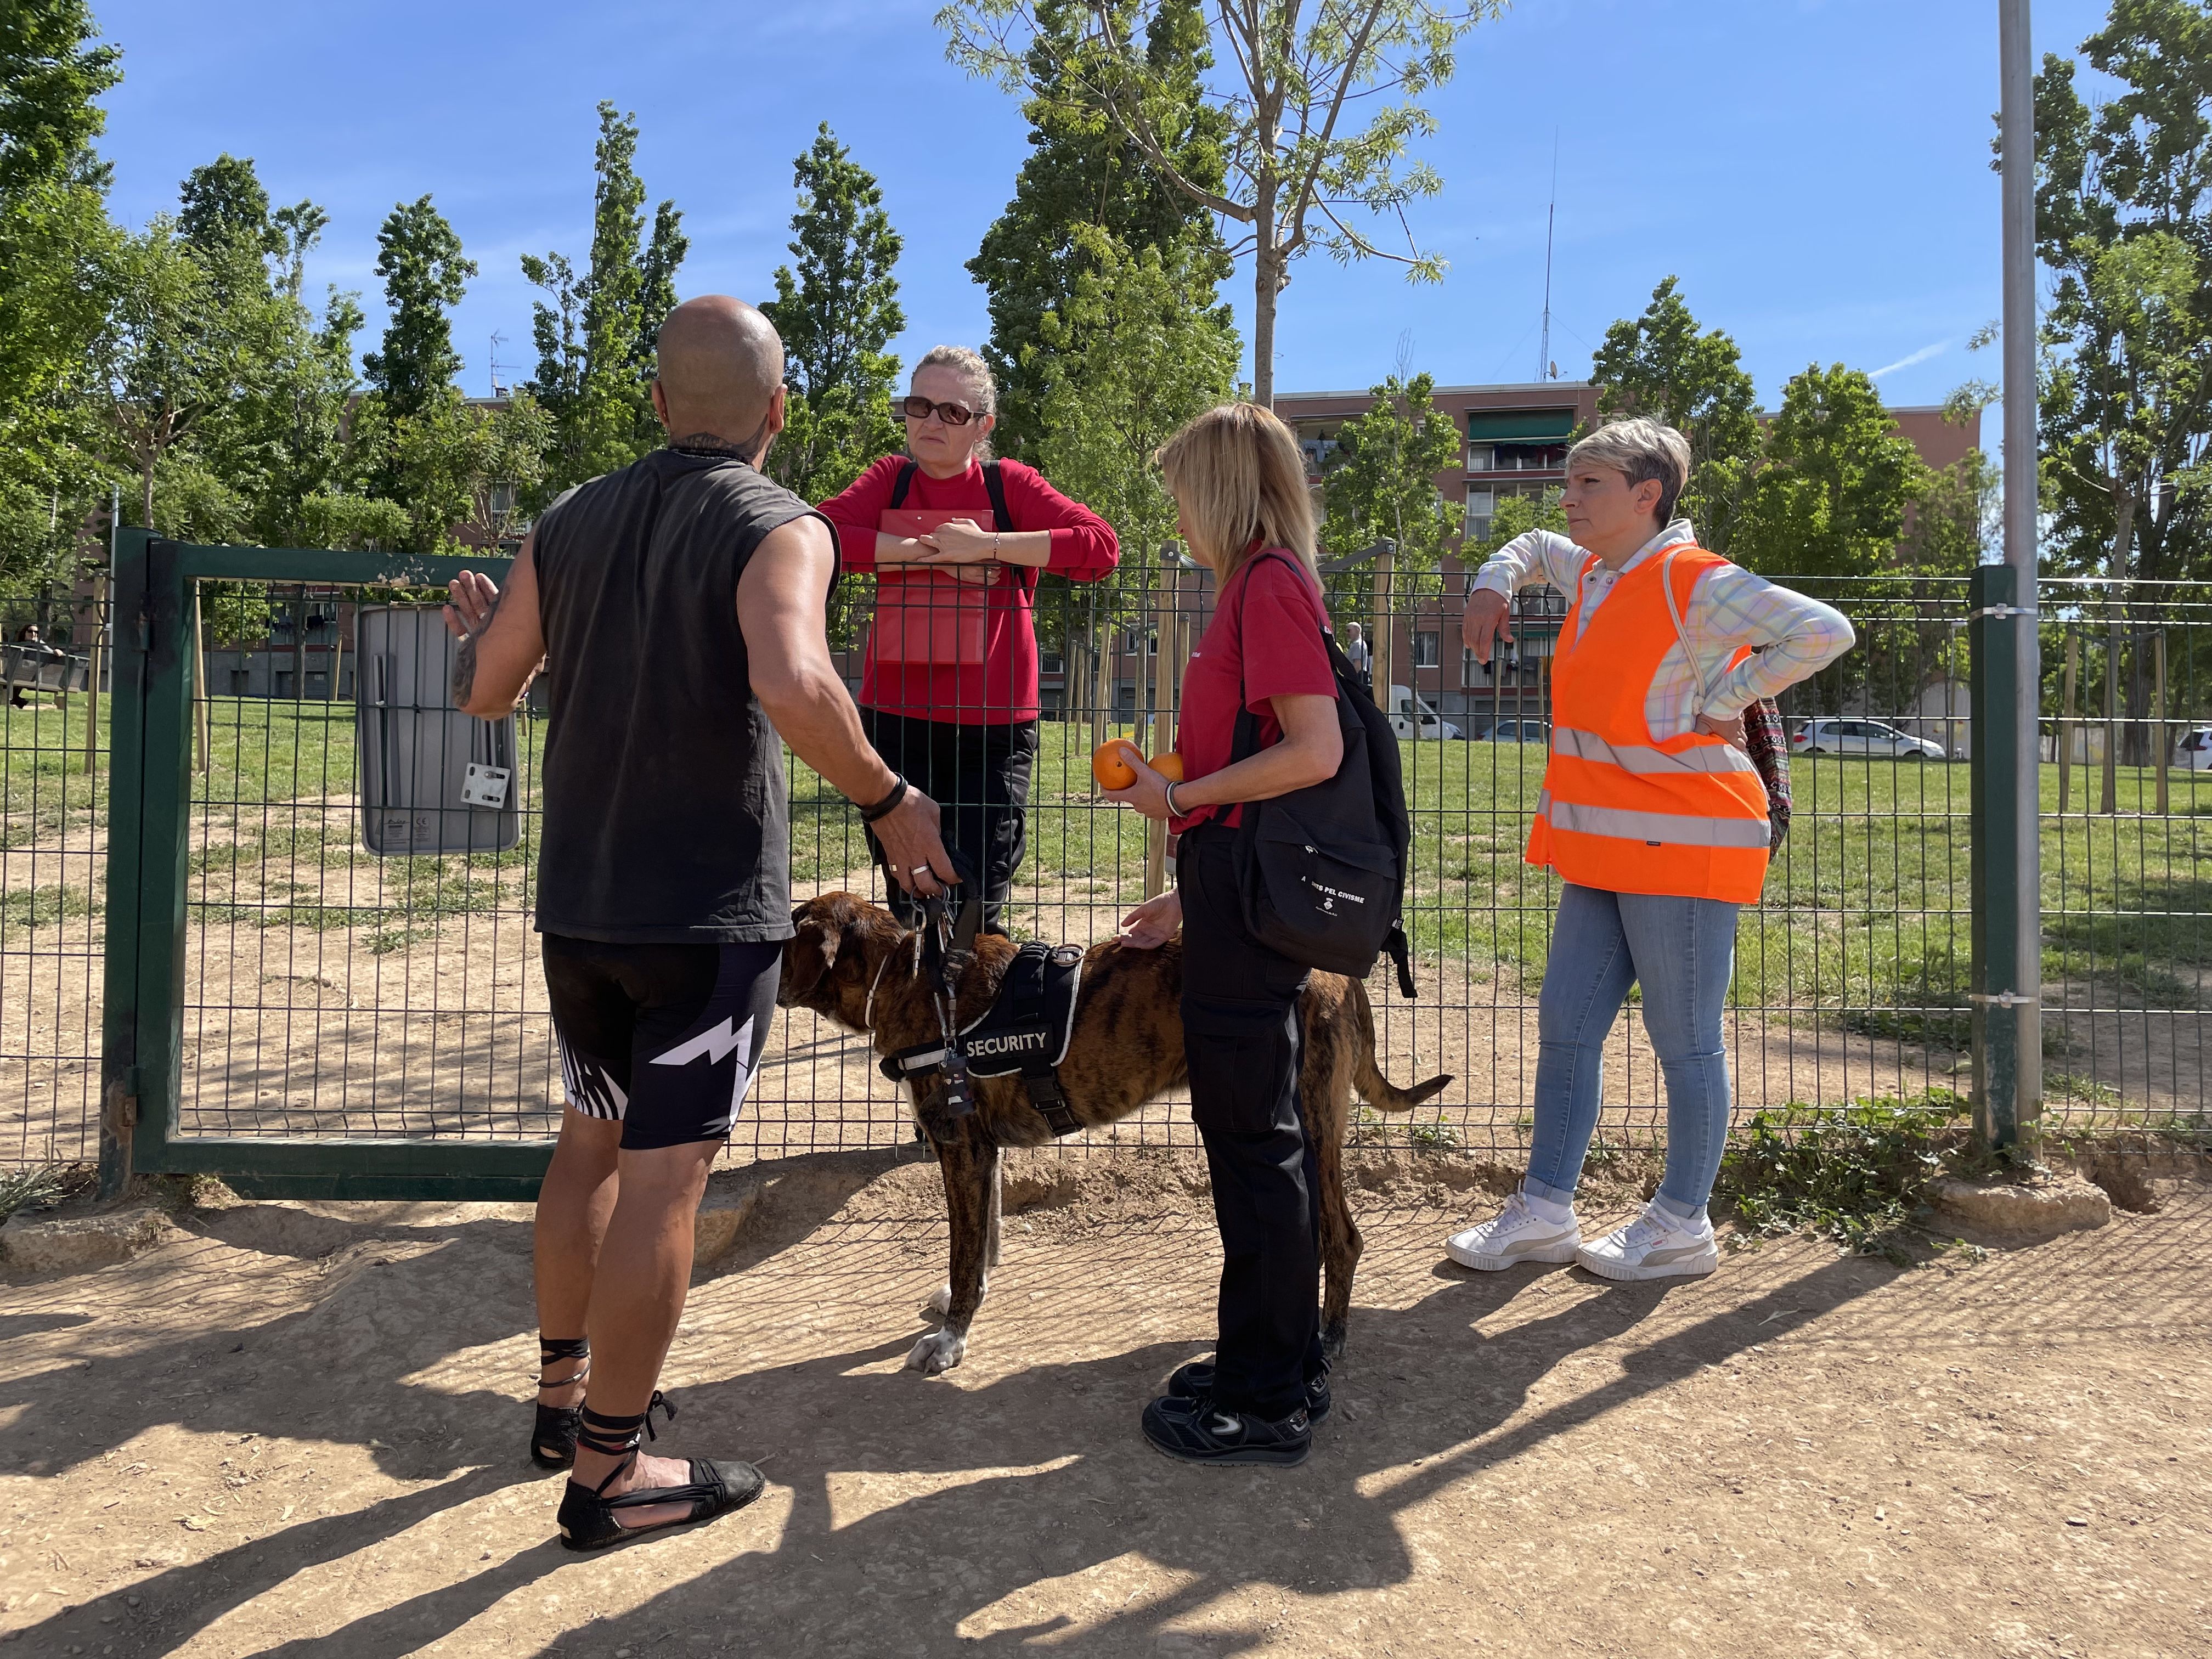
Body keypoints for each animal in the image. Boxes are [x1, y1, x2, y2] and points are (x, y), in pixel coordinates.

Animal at [778, 898, 1451, 1380]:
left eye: (781, 943)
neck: (906, 976)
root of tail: (1337, 973)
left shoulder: (960, 1148)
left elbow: (964, 1252)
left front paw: (951, 1339)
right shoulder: (983, 1151)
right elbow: (986, 1240)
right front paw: (967, 1303)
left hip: (1308, 1125)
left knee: (1343, 1238)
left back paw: (1329, 1338)